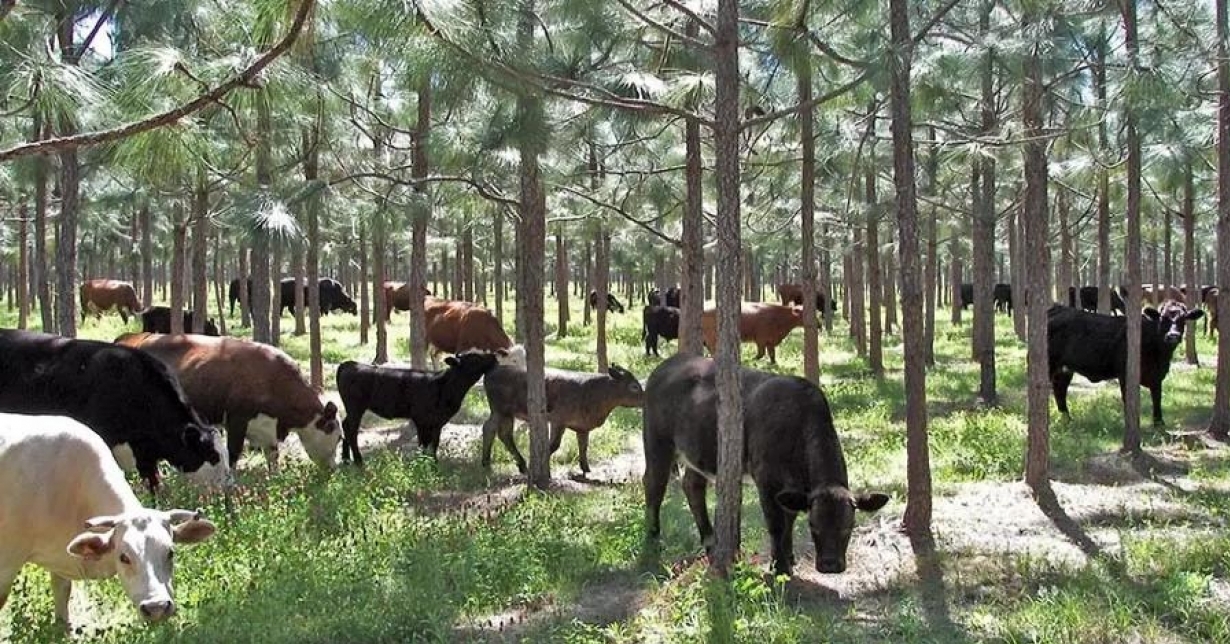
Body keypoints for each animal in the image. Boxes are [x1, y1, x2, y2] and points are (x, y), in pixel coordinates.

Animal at [115, 333, 341, 471]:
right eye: (338, 437)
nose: (333, 469)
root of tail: (133, 337)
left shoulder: (267, 429)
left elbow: (273, 456)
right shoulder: (236, 420)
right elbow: (233, 453)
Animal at [336, 351, 502, 464]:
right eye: (475, 358)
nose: (494, 356)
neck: (445, 386)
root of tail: (350, 364)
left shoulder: (437, 422)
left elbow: (434, 444)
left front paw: (433, 462)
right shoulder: (421, 419)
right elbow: (424, 443)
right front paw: (423, 463)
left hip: (352, 409)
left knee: (345, 425)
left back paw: (346, 460)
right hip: (356, 407)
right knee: (351, 429)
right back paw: (358, 461)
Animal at [480, 365, 644, 475]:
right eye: (634, 386)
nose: (645, 397)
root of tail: (493, 370)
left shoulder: (582, 426)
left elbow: (584, 446)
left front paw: (586, 468)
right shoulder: (558, 420)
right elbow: (554, 445)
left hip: (504, 412)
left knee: (498, 432)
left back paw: (502, 463)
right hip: (501, 410)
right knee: (495, 431)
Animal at [643, 355, 889, 576]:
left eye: (848, 527)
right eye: (813, 526)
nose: (830, 565)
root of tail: (668, 363)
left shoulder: (792, 490)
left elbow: (789, 519)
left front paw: (787, 557)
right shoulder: (767, 481)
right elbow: (776, 524)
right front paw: (780, 566)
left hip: (697, 453)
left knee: (692, 486)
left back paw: (710, 541)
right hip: (657, 442)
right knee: (653, 484)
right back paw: (653, 538)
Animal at [1048, 301, 1204, 427]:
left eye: (1183, 319)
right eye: (1162, 318)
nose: (1173, 336)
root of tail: (1057, 308)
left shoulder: (1157, 376)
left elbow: (1157, 398)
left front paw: (1159, 423)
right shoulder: (1125, 374)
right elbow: (1129, 400)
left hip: (1064, 369)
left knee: (1060, 390)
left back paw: (1066, 420)